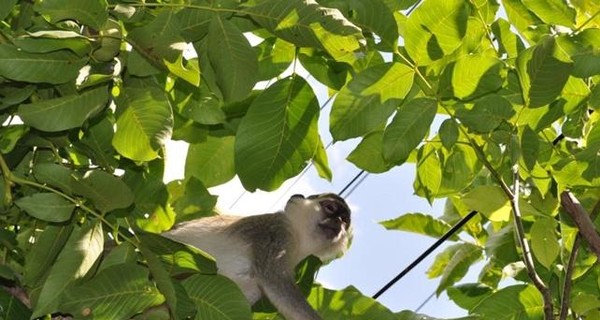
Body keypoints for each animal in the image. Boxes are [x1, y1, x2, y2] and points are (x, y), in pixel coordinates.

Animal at [162, 192, 354, 320]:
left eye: (344, 220)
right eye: (330, 208)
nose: (338, 222)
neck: (297, 237)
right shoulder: (277, 232)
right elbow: (274, 279)